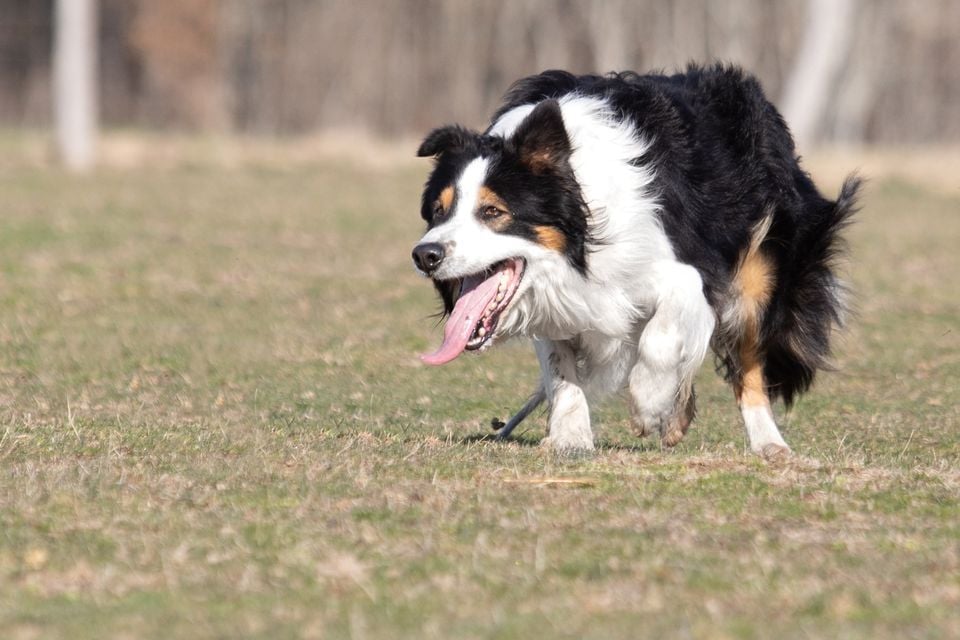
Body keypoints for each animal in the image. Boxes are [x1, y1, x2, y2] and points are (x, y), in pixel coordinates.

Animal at [408, 63, 860, 456]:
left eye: (492, 212)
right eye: (438, 211)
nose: (425, 255)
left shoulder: (687, 274)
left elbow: (661, 339)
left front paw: (648, 404)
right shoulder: (560, 299)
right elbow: (560, 366)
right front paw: (571, 436)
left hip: (756, 275)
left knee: (747, 364)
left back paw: (767, 443)